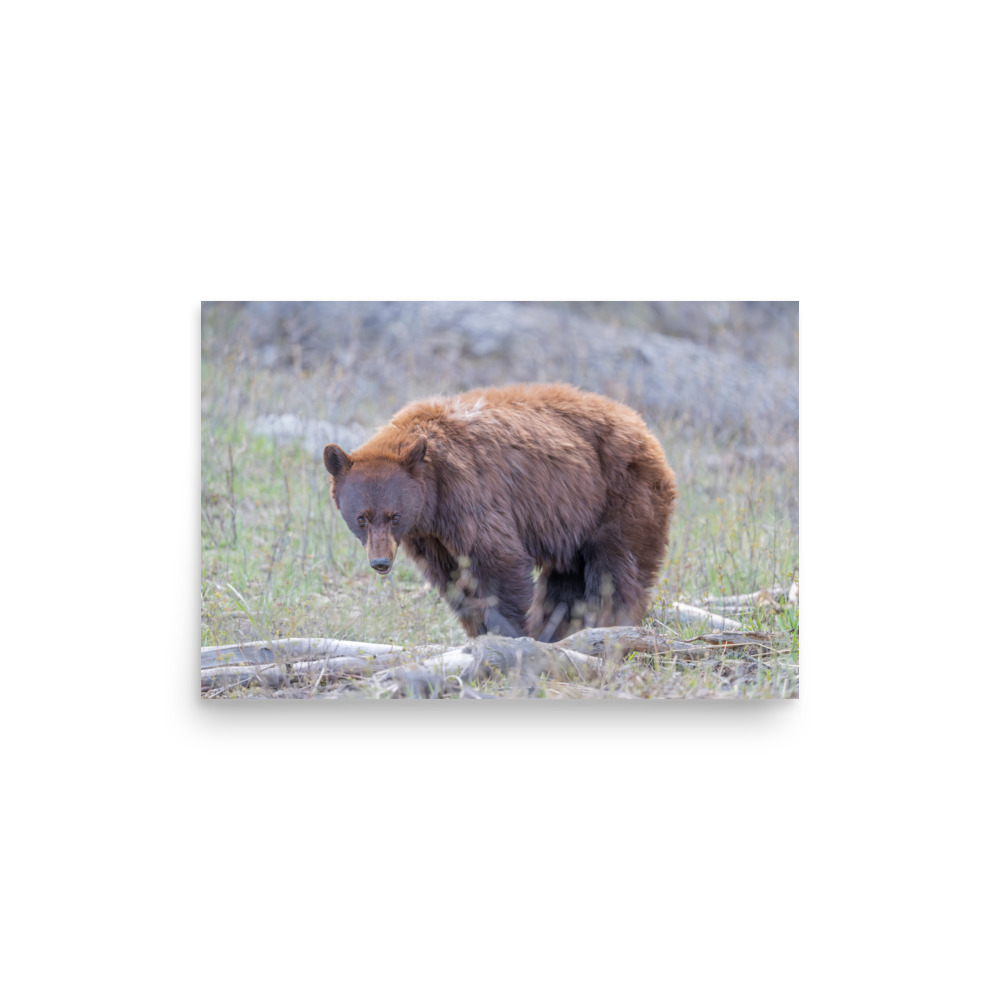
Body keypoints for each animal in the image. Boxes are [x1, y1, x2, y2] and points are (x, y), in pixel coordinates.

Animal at [323, 383, 677, 642]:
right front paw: (480, 630)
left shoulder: (470, 493)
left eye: (394, 516)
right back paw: (558, 629)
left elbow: (497, 560)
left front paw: (508, 632)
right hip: (574, 519)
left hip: (620, 495)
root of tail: (643, 427)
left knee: (616, 569)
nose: (380, 562)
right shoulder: (429, 535)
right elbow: (452, 578)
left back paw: (608, 623)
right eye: (361, 518)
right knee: (566, 580)